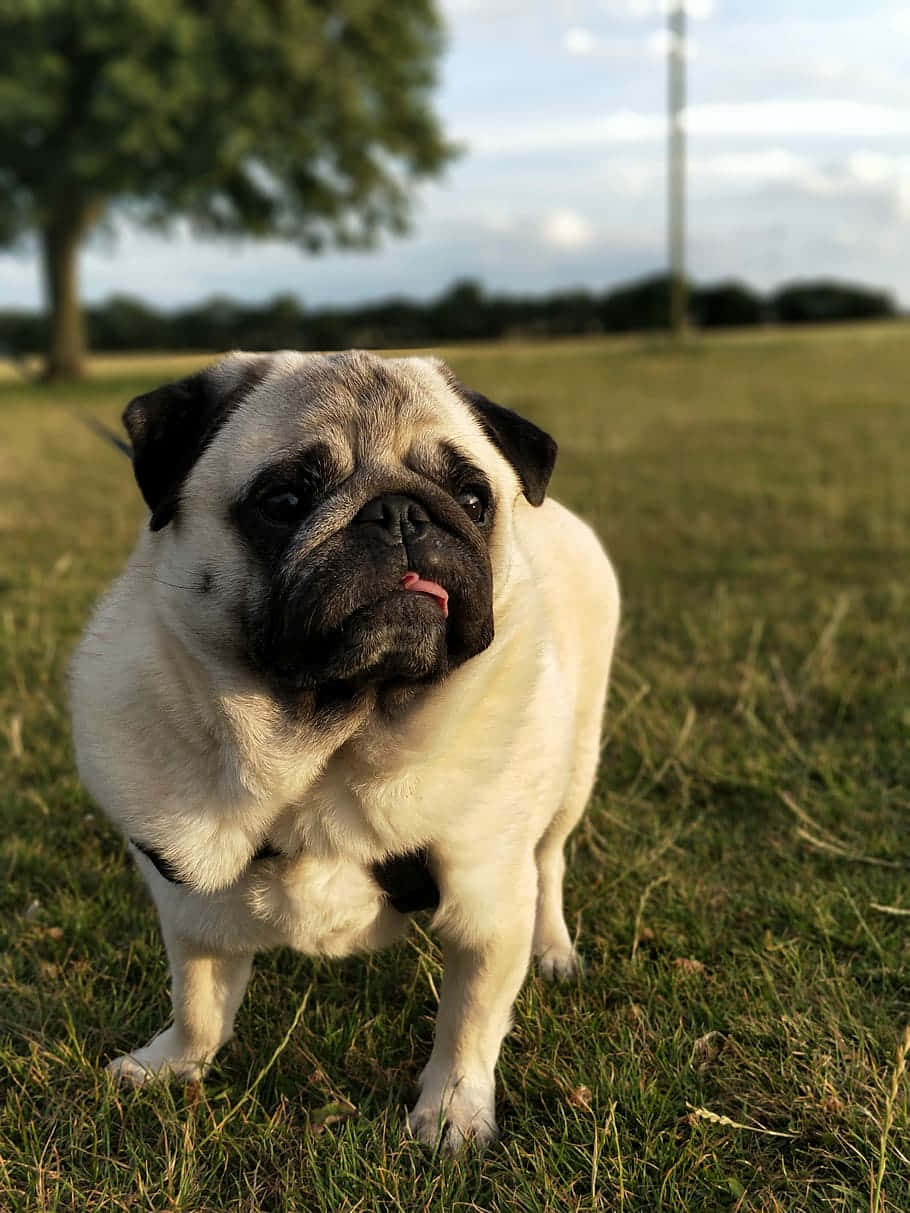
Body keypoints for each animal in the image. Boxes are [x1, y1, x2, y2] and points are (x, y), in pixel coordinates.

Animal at [71, 349, 621, 1145]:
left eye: (473, 497)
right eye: (284, 500)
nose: (399, 512)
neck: (332, 750)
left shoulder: (490, 904)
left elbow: (469, 1022)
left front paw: (452, 1111)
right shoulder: (189, 905)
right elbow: (198, 1004)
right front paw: (173, 1064)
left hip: (573, 770)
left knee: (549, 863)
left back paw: (553, 949)